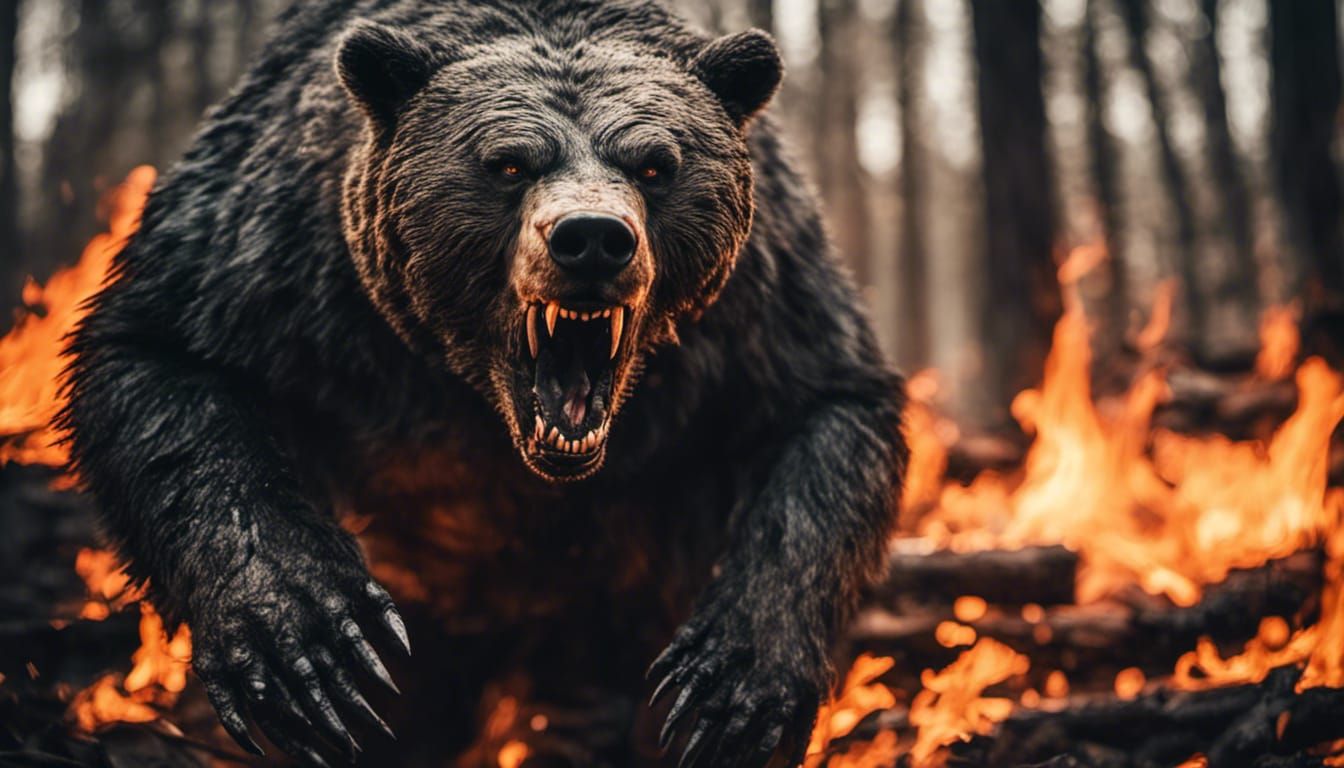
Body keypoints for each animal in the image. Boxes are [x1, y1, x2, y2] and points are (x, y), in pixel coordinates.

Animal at [60, 1, 908, 766]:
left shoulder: (755, 304)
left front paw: (733, 685)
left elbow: (825, 412)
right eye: (507, 162)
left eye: (655, 164)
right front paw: (308, 648)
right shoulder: (281, 263)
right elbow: (164, 367)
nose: (591, 239)